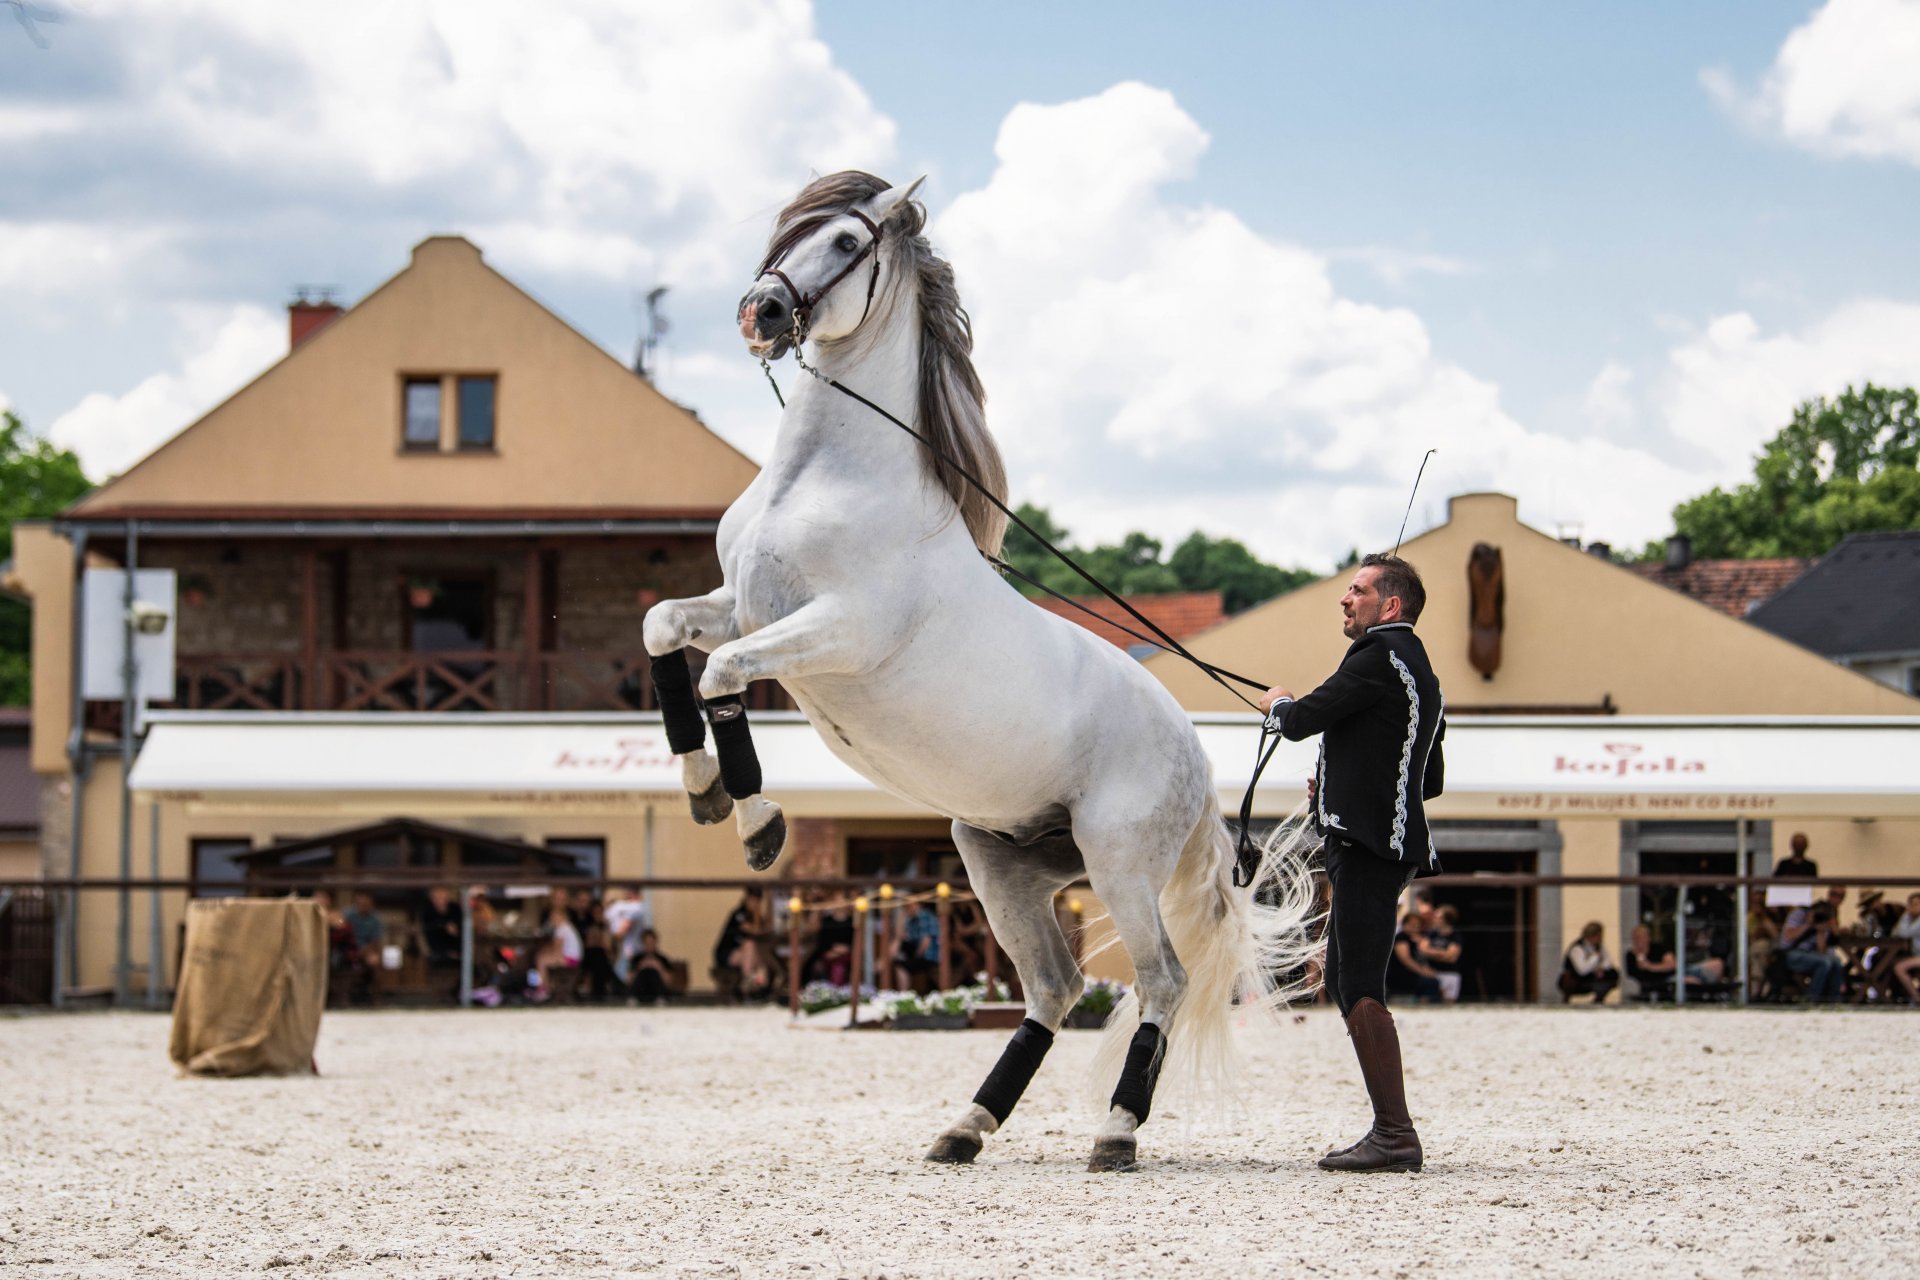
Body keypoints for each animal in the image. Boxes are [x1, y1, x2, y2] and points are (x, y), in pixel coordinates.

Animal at [645, 169, 1320, 1174]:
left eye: (845, 241)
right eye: (791, 231)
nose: (757, 311)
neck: (822, 482)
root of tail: (1198, 764)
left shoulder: (834, 630)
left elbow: (722, 673)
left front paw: (758, 827)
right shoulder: (743, 605)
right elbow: (665, 633)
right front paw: (701, 790)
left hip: (1117, 861)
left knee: (1158, 979)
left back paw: (1115, 1133)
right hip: (1001, 862)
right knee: (1053, 988)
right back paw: (964, 1127)